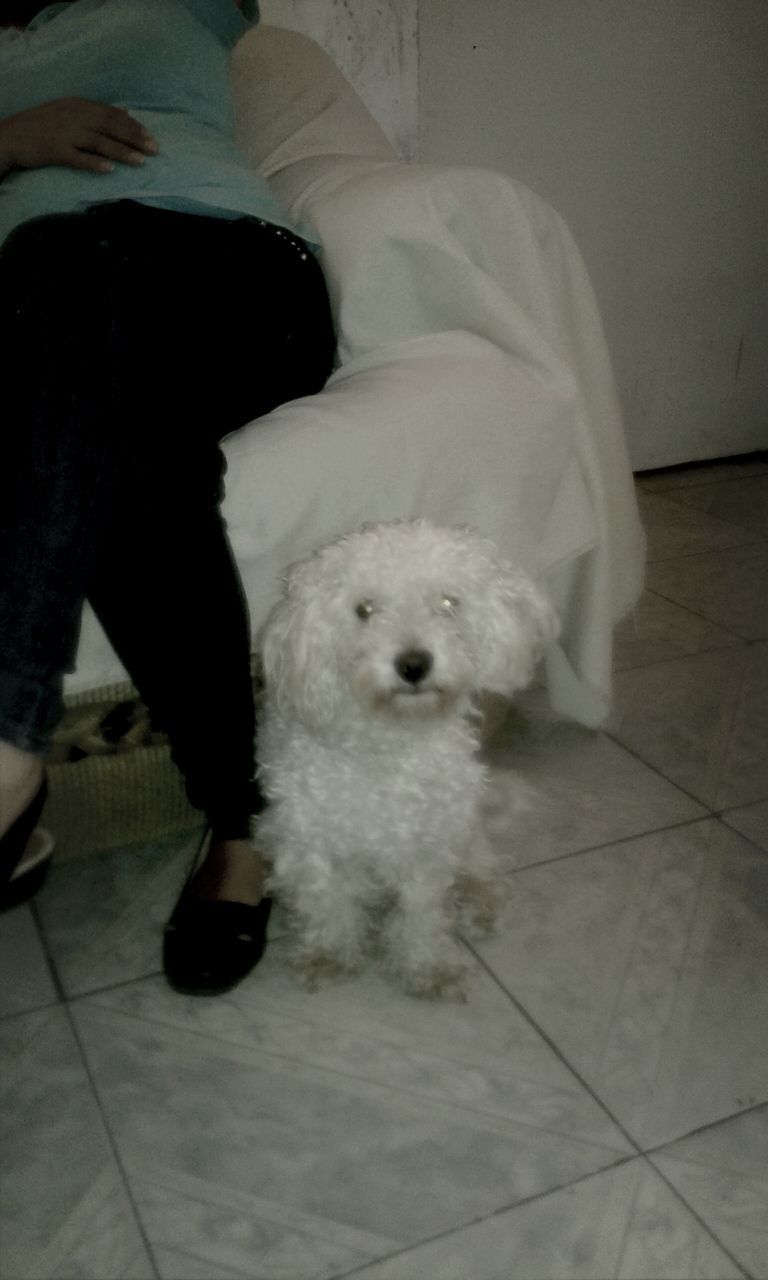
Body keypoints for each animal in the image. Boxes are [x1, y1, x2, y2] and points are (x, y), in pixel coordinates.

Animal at [258, 519, 558, 998]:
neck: (389, 738)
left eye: (448, 602)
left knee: (480, 866)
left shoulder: (426, 843)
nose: (414, 665)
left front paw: (427, 965)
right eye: (364, 609)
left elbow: (421, 912)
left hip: (463, 829)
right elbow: (327, 902)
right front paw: (329, 954)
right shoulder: (310, 840)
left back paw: (480, 903)